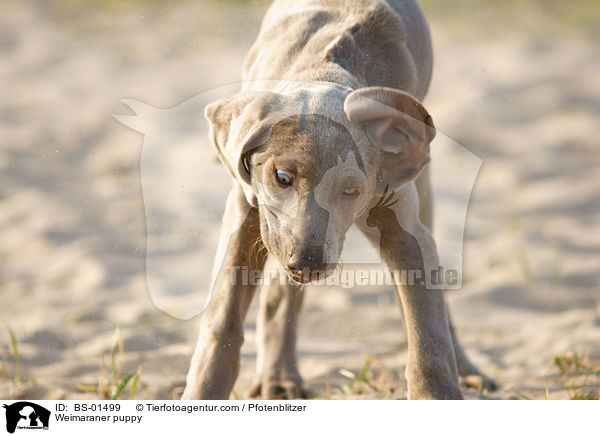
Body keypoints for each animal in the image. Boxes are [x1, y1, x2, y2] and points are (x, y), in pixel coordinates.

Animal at [184, 0, 496, 398]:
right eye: (282, 177)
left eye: (351, 190)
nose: (308, 263)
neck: (323, 69)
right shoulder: (246, 207)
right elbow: (222, 320)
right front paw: (202, 392)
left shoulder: (405, 229)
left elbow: (427, 331)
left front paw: (436, 392)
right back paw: (279, 379)